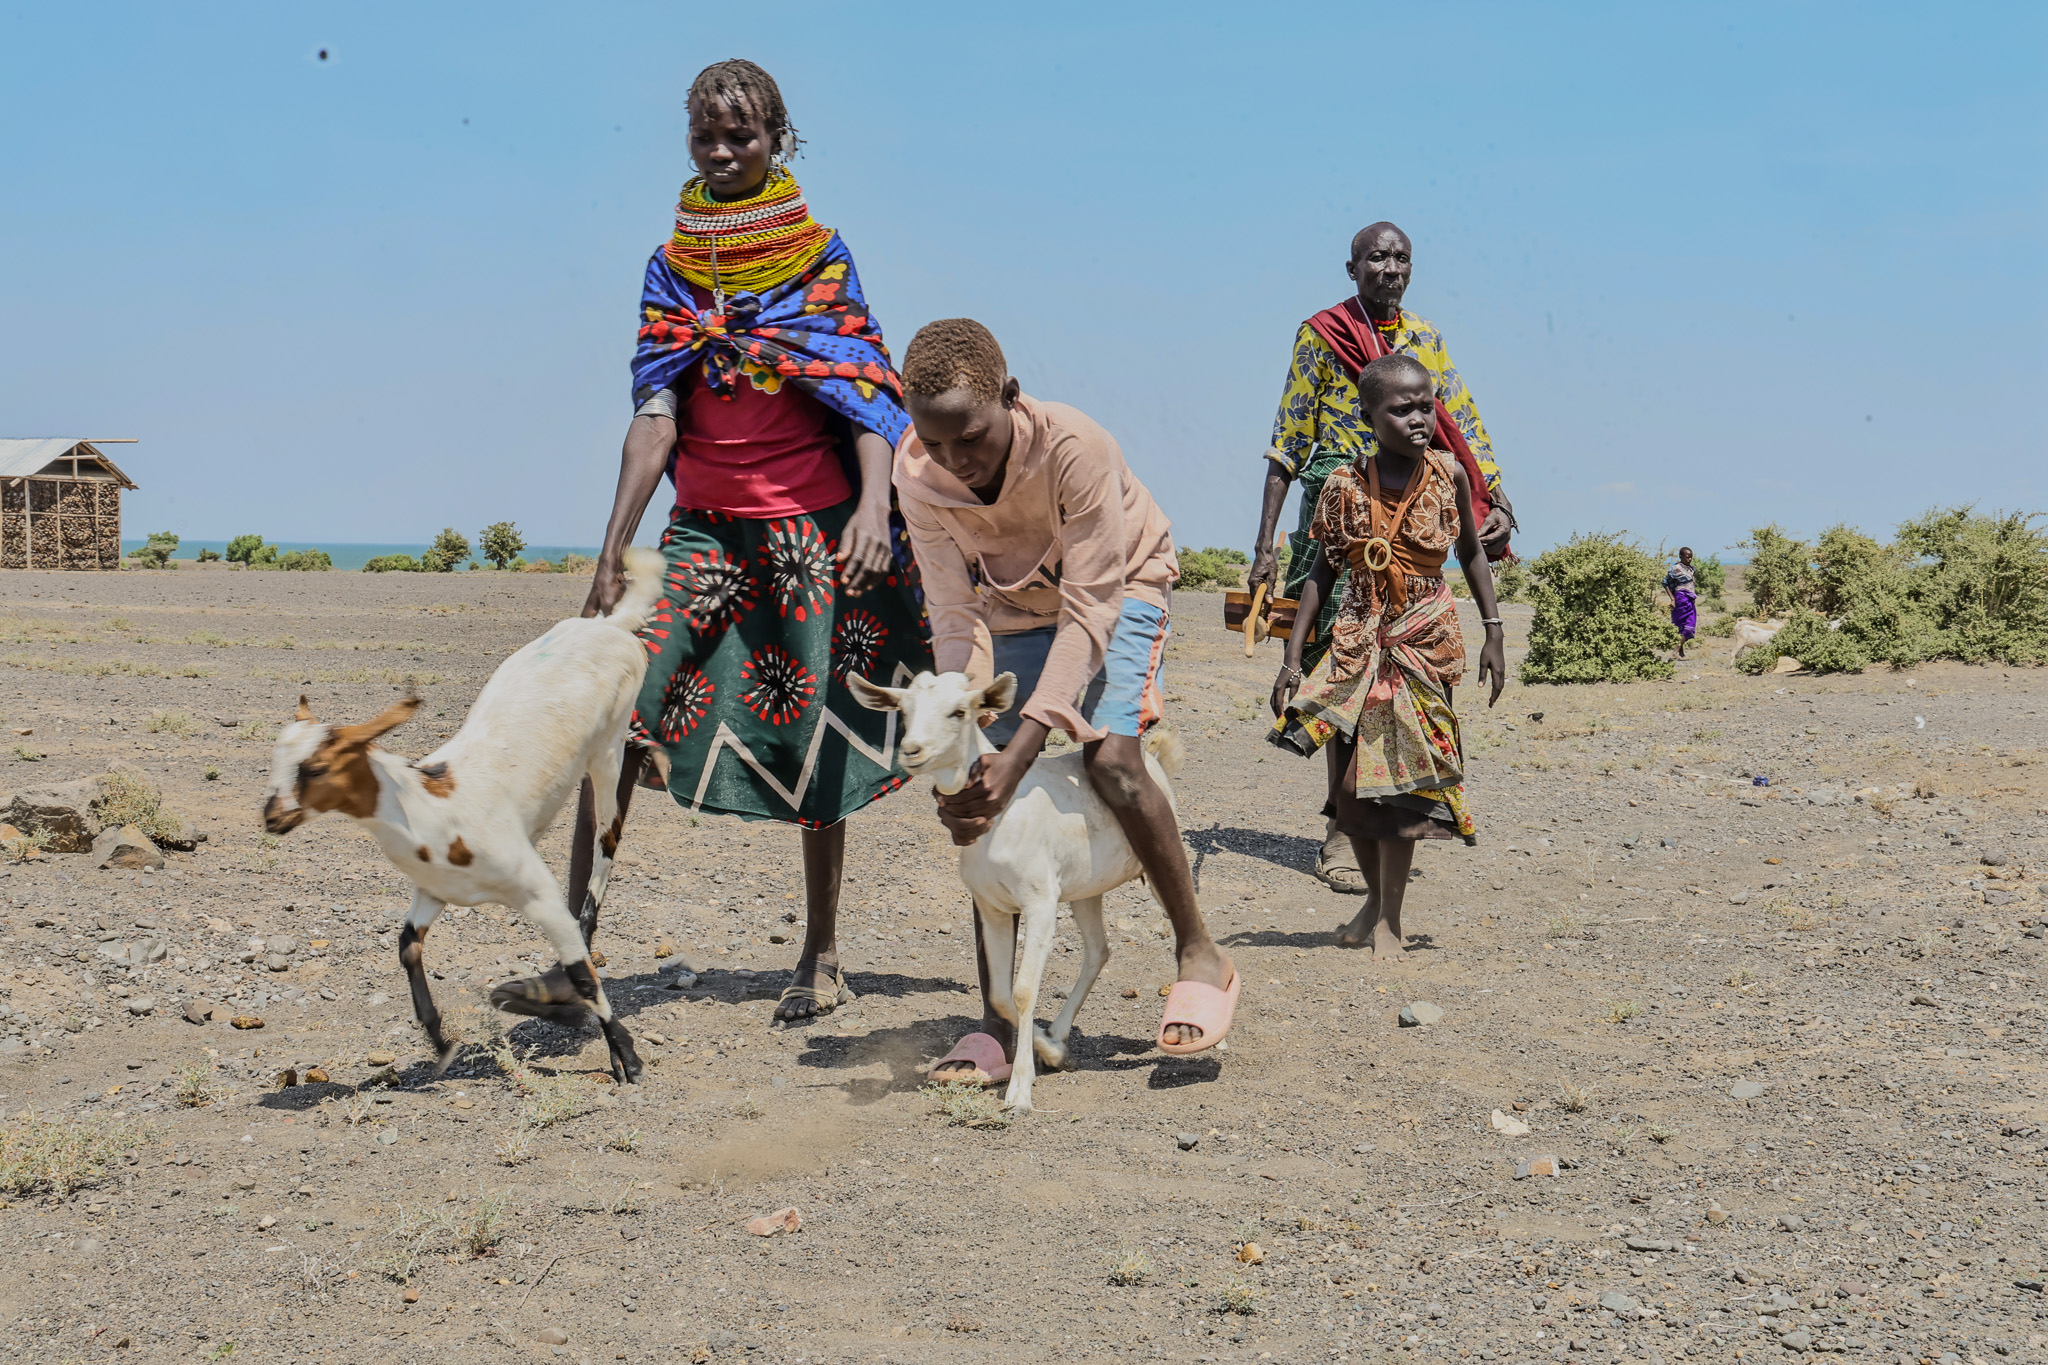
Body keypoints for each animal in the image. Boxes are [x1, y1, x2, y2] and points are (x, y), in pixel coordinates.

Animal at [264, 544, 663, 1080]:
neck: (431, 803)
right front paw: (438, 1039)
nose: (271, 815)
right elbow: (407, 945)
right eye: (276, 759)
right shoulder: (433, 891)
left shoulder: (538, 893)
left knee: (608, 837)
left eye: (315, 767)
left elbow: (581, 973)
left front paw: (626, 1055)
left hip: (607, 748)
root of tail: (613, 625)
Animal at [839, 671, 1187, 1113]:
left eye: (959, 712)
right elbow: (1001, 994)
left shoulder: (1040, 903)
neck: (1002, 817)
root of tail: (1155, 762)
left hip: (1154, 867)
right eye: (903, 710)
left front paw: (1020, 1089)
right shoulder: (993, 907)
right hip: (1085, 890)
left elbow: (1022, 992)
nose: (913, 750)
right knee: (1098, 950)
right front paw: (1050, 1052)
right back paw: (1058, 1034)